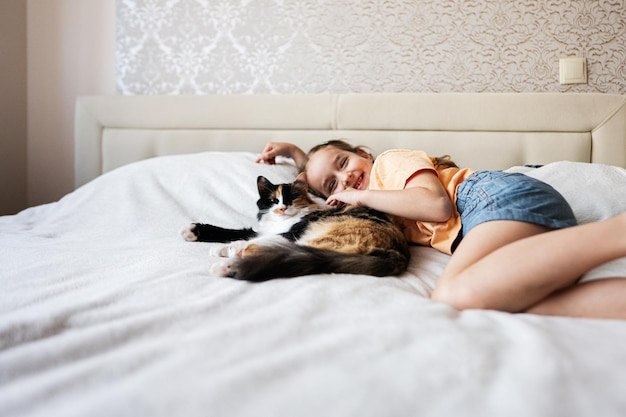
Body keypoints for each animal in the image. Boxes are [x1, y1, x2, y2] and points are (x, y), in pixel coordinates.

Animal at [179, 174, 410, 282]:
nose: (282, 208)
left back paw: (227, 265)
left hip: (315, 242)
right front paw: (193, 232)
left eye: (290, 199)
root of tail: (399, 254)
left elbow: (250, 240)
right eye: (274, 200)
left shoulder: (292, 231)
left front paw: (227, 249)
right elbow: (238, 232)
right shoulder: (262, 230)